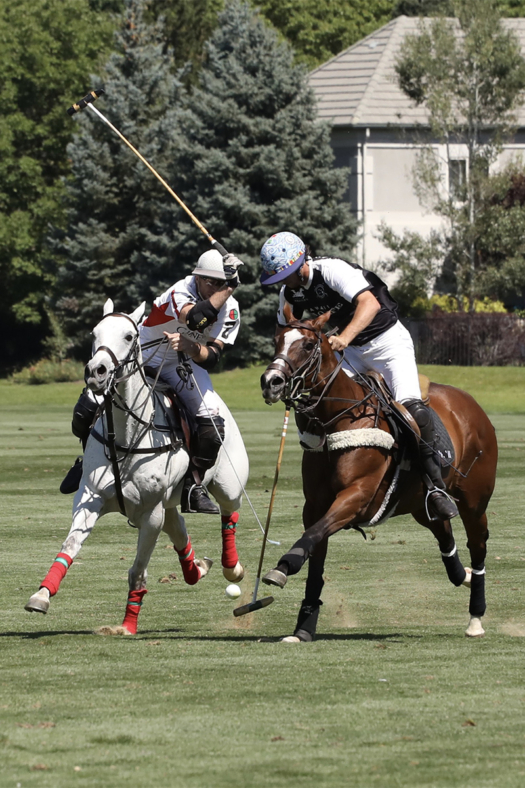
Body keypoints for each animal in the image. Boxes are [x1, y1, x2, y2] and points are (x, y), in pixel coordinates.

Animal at [25, 298, 251, 636]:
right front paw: (41, 596)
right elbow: (69, 546)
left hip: (227, 484)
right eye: (94, 333)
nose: (96, 372)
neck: (127, 433)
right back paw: (196, 569)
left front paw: (127, 626)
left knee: (229, 513)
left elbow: (137, 571)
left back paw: (232, 567)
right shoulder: (90, 498)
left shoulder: (150, 513)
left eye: (129, 336)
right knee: (179, 527)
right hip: (170, 503)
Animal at [260, 308, 498, 640]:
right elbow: (315, 550)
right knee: (443, 529)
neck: (341, 419)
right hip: (419, 503)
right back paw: (460, 574)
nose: (271, 381)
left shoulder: (356, 496)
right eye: (277, 340)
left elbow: (311, 536)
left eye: (307, 345)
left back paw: (475, 617)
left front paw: (282, 568)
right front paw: (304, 626)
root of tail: (473, 405)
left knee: (478, 545)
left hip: (475, 500)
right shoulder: (315, 505)